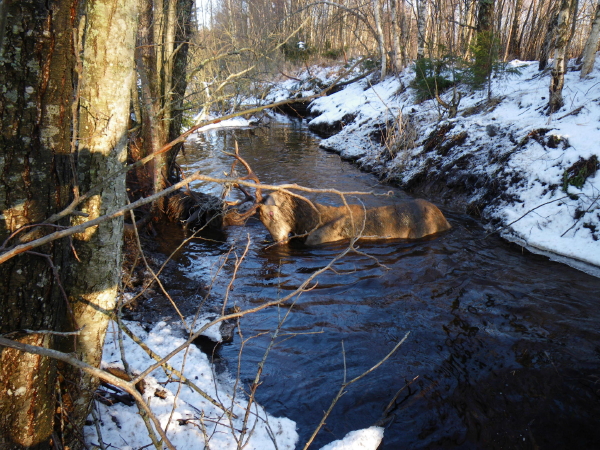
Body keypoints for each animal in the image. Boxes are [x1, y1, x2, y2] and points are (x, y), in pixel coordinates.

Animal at [221, 150, 450, 244]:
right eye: (258, 218)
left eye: (269, 213)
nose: (279, 240)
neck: (309, 222)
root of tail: (445, 221)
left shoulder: (322, 239)